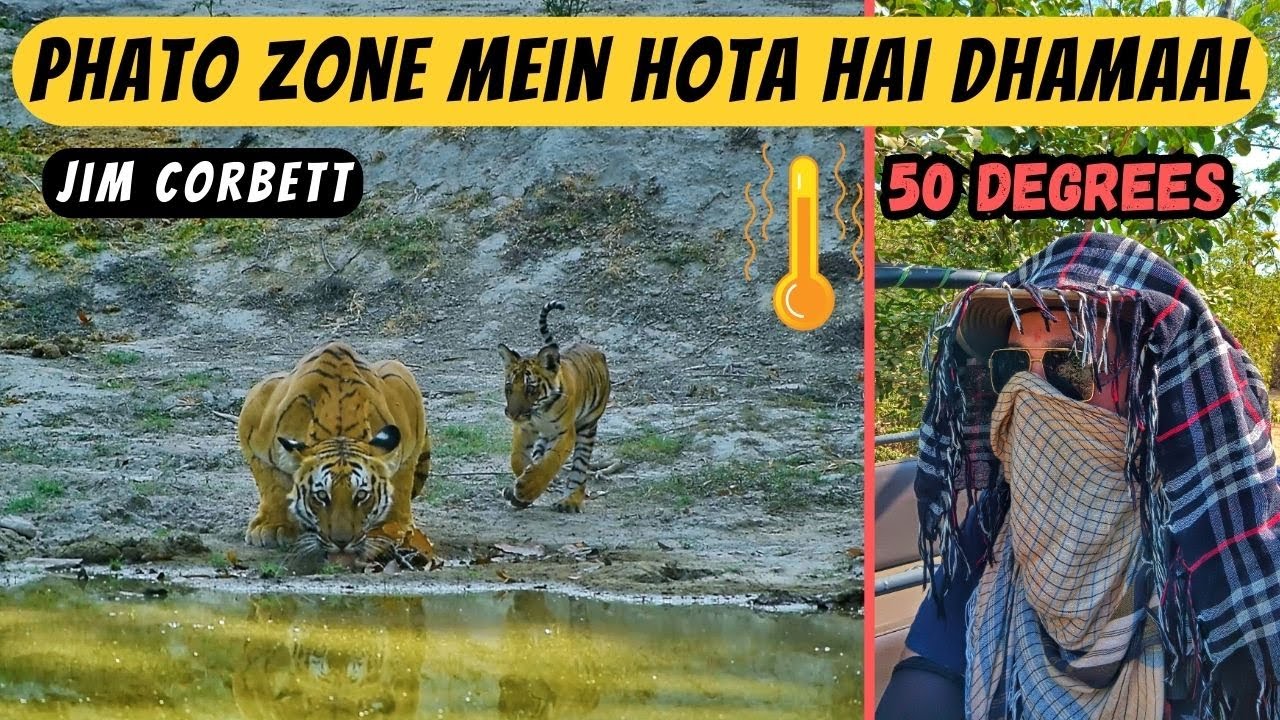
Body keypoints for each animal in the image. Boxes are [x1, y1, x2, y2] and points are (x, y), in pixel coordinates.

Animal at [236, 340, 431, 565]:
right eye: (321, 496)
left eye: (362, 496)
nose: (342, 542)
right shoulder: (252, 421)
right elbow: (272, 484)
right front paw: (272, 527)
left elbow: (401, 484)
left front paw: (392, 528)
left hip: (399, 372)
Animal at [498, 301, 610, 513]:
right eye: (509, 388)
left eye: (530, 389)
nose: (513, 414)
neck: (539, 412)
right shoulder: (525, 428)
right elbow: (517, 458)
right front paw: (523, 480)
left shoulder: (565, 433)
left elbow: (551, 462)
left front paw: (527, 488)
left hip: (587, 427)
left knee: (579, 470)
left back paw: (571, 501)